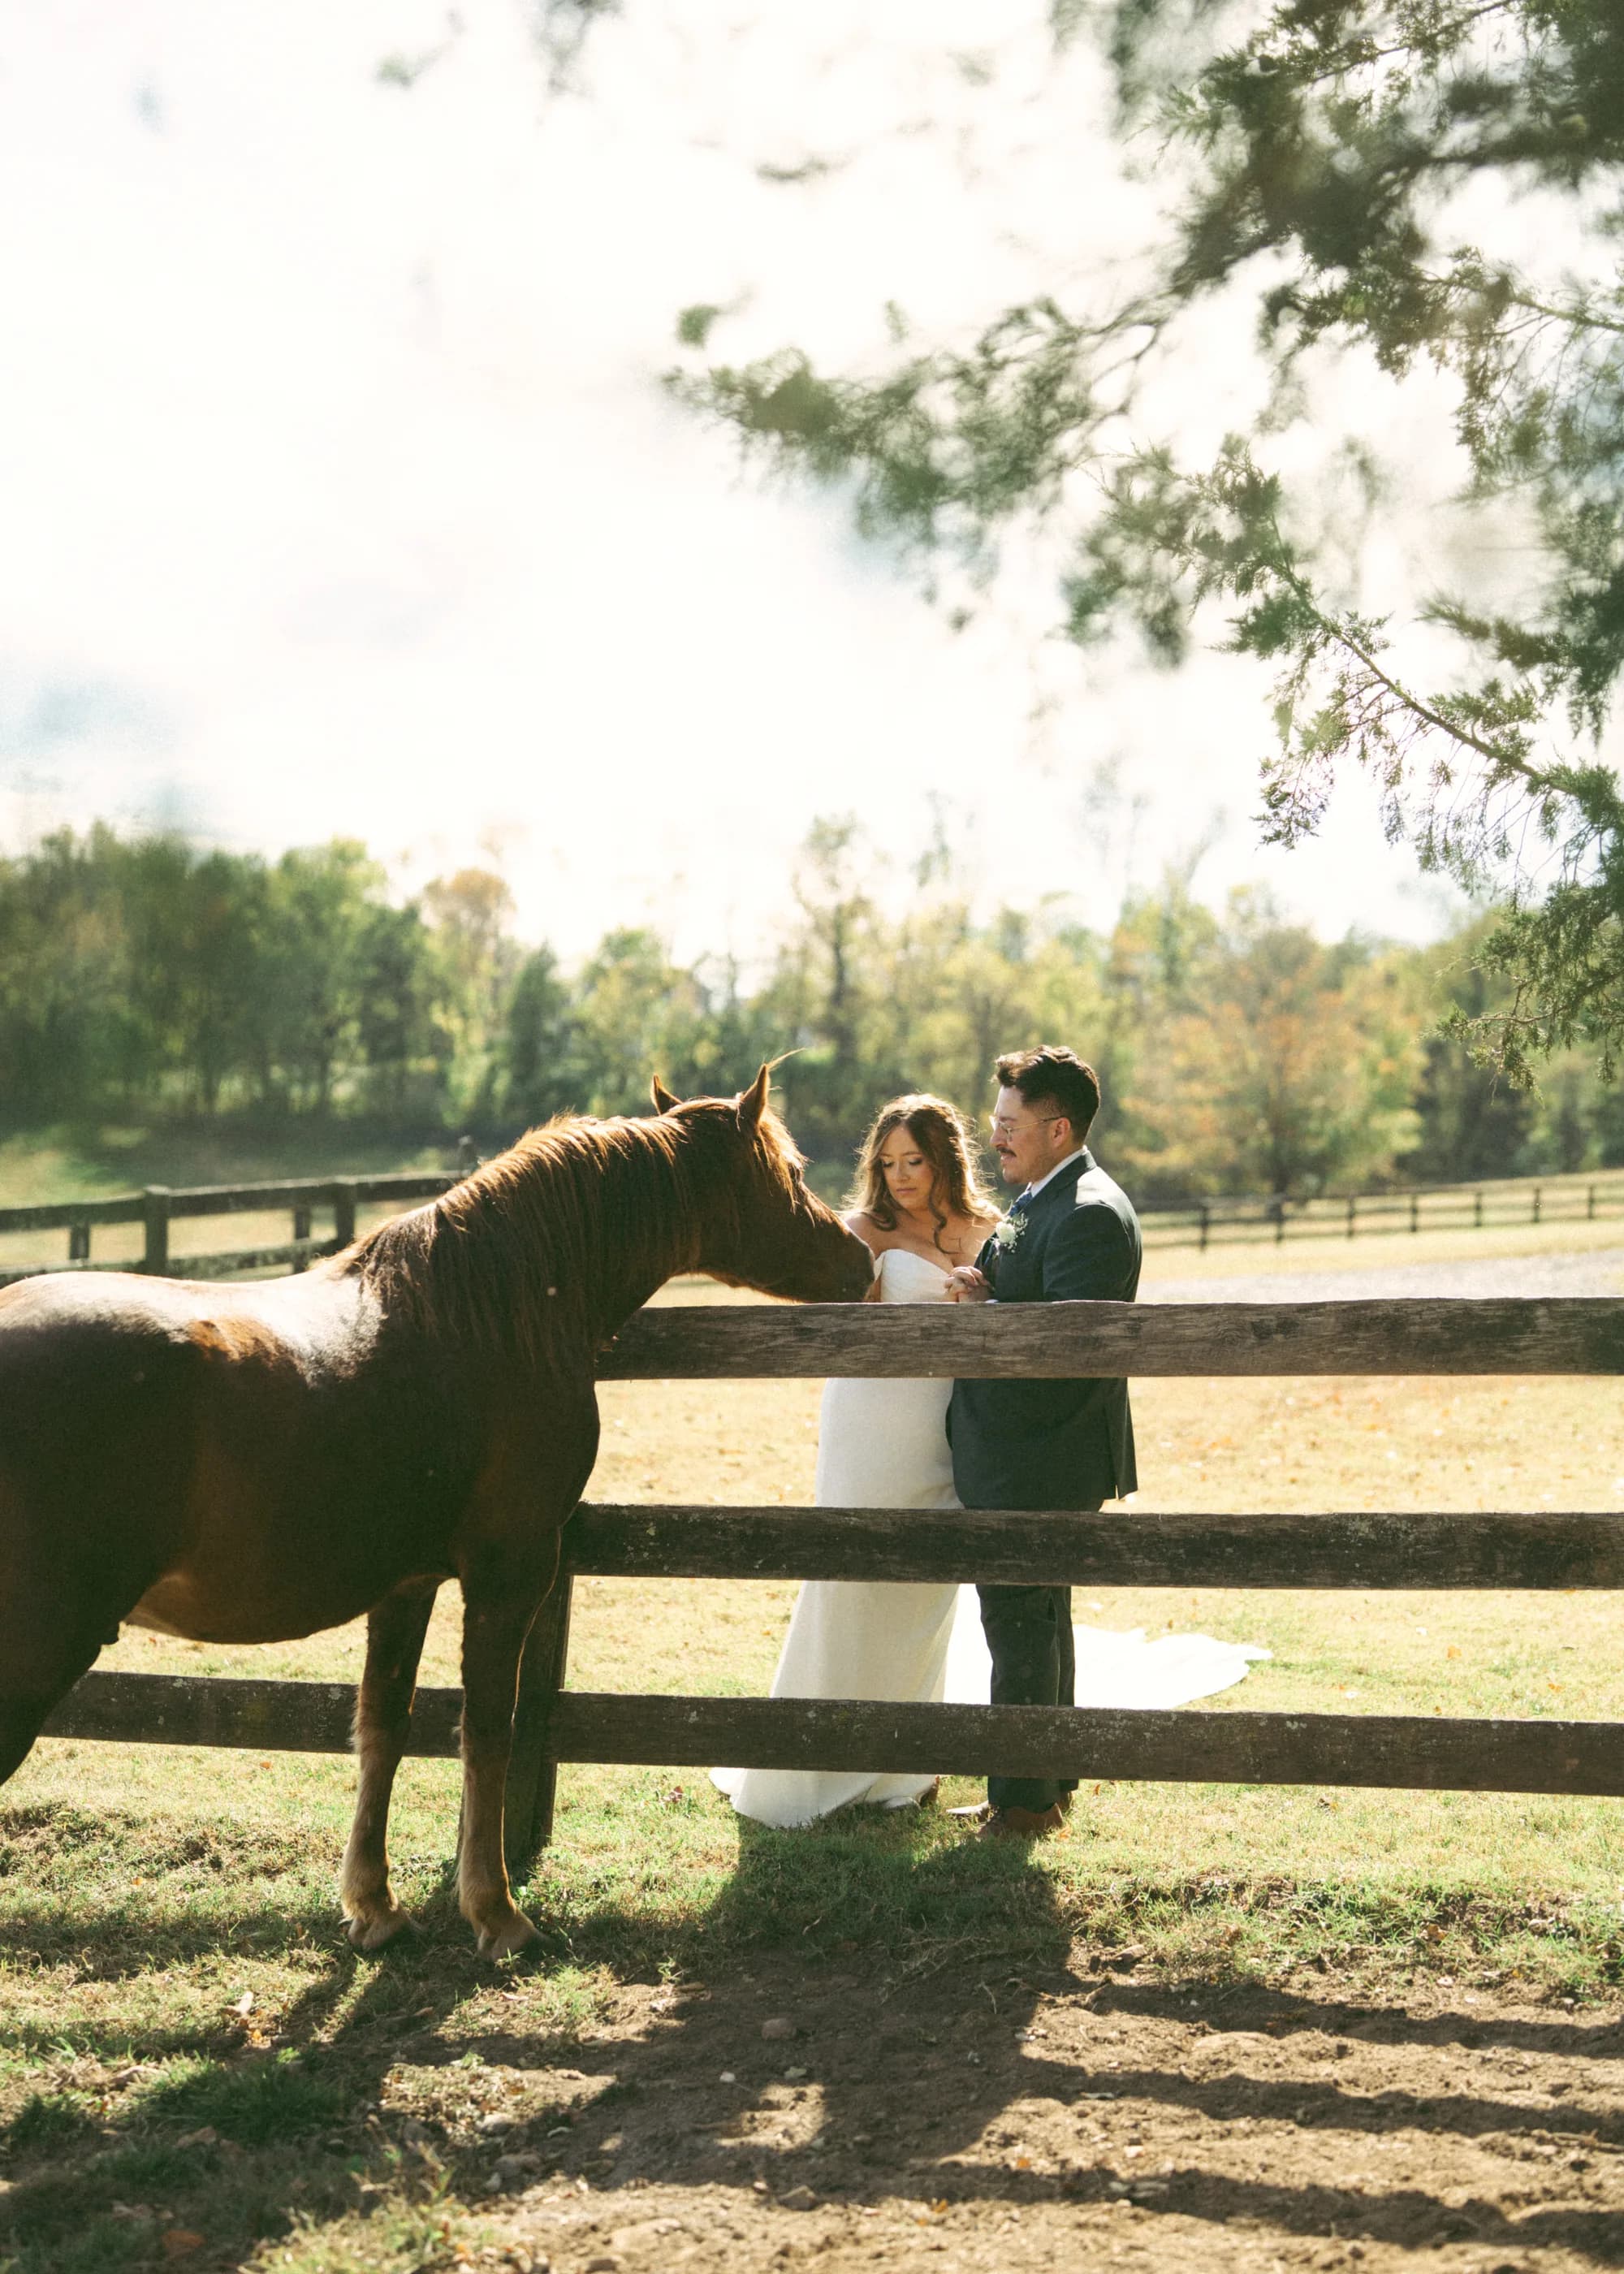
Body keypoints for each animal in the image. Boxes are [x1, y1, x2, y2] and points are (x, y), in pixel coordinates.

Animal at [0, 1066, 872, 1955]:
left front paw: (375, 1905)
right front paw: (495, 1911)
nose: (861, 1257)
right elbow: (488, 1728)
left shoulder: (405, 1585)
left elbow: (383, 1728)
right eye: (793, 1171)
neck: (493, 1308)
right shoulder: (509, 1570)